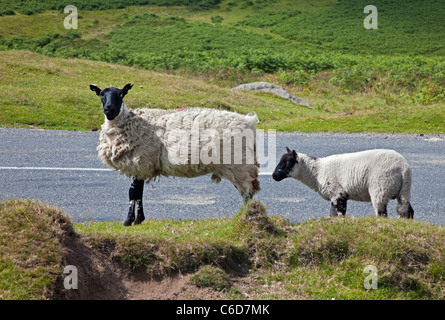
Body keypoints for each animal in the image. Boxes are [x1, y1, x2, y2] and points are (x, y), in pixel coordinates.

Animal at [90, 84, 260, 226]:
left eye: (121, 94)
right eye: (101, 95)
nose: (109, 109)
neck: (125, 123)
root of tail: (249, 121)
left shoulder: (139, 162)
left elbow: (133, 193)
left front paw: (128, 221)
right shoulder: (142, 167)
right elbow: (139, 193)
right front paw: (139, 220)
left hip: (239, 164)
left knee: (247, 192)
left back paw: (246, 215)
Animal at [272, 146, 414, 219]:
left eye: (288, 163)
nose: (274, 176)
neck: (317, 171)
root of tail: (403, 168)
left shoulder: (338, 193)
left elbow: (340, 213)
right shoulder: (334, 196)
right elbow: (333, 214)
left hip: (381, 188)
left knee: (382, 213)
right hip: (403, 191)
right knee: (406, 210)